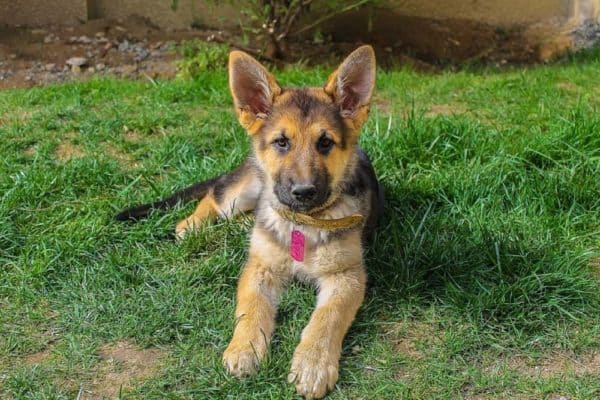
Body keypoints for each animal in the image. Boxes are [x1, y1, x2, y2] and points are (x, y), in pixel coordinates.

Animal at [118, 45, 384, 398]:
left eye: (325, 142)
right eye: (282, 142)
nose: (303, 192)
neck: (300, 222)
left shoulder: (347, 276)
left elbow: (327, 318)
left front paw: (312, 364)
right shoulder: (259, 268)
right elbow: (252, 308)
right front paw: (244, 348)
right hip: (244, 191)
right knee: (214, 196)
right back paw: (191, 225)